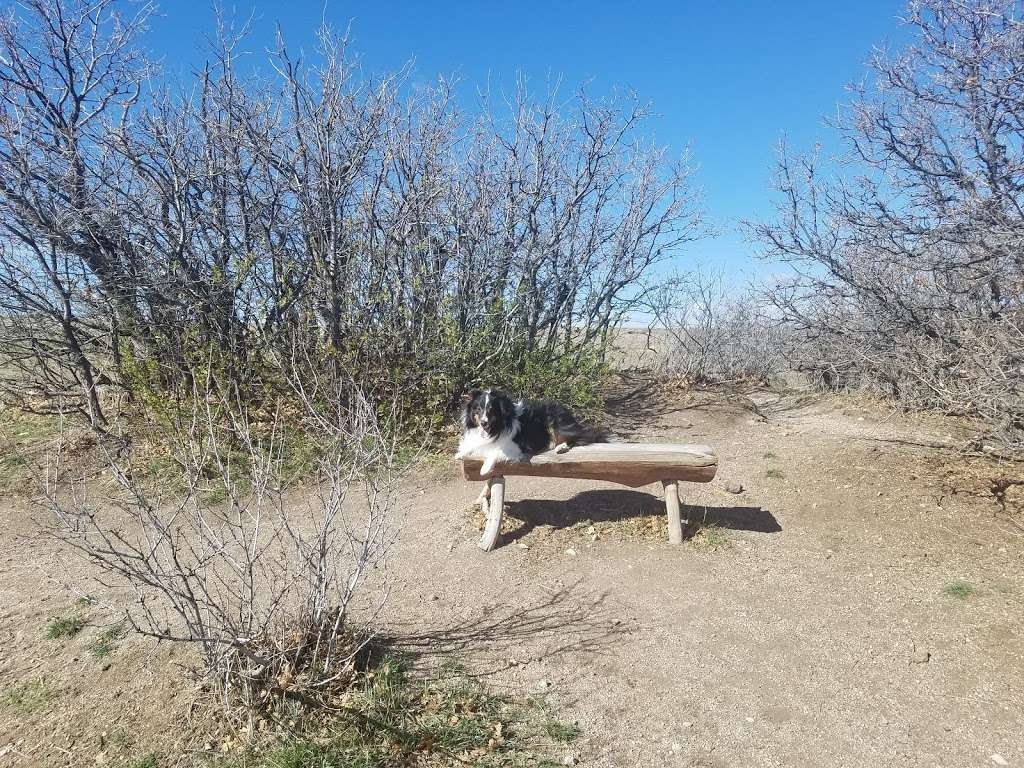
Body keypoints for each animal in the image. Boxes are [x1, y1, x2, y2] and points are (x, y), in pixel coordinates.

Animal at [452, 387, 602, 479]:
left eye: (491, 410)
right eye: (478, 409)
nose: (484, 423)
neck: (497, 427)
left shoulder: (515, 447)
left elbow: (495, 452)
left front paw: (484, 469)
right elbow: (470, 445)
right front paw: (460, 454)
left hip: (557, 423)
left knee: (578, 438)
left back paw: (561, 447)